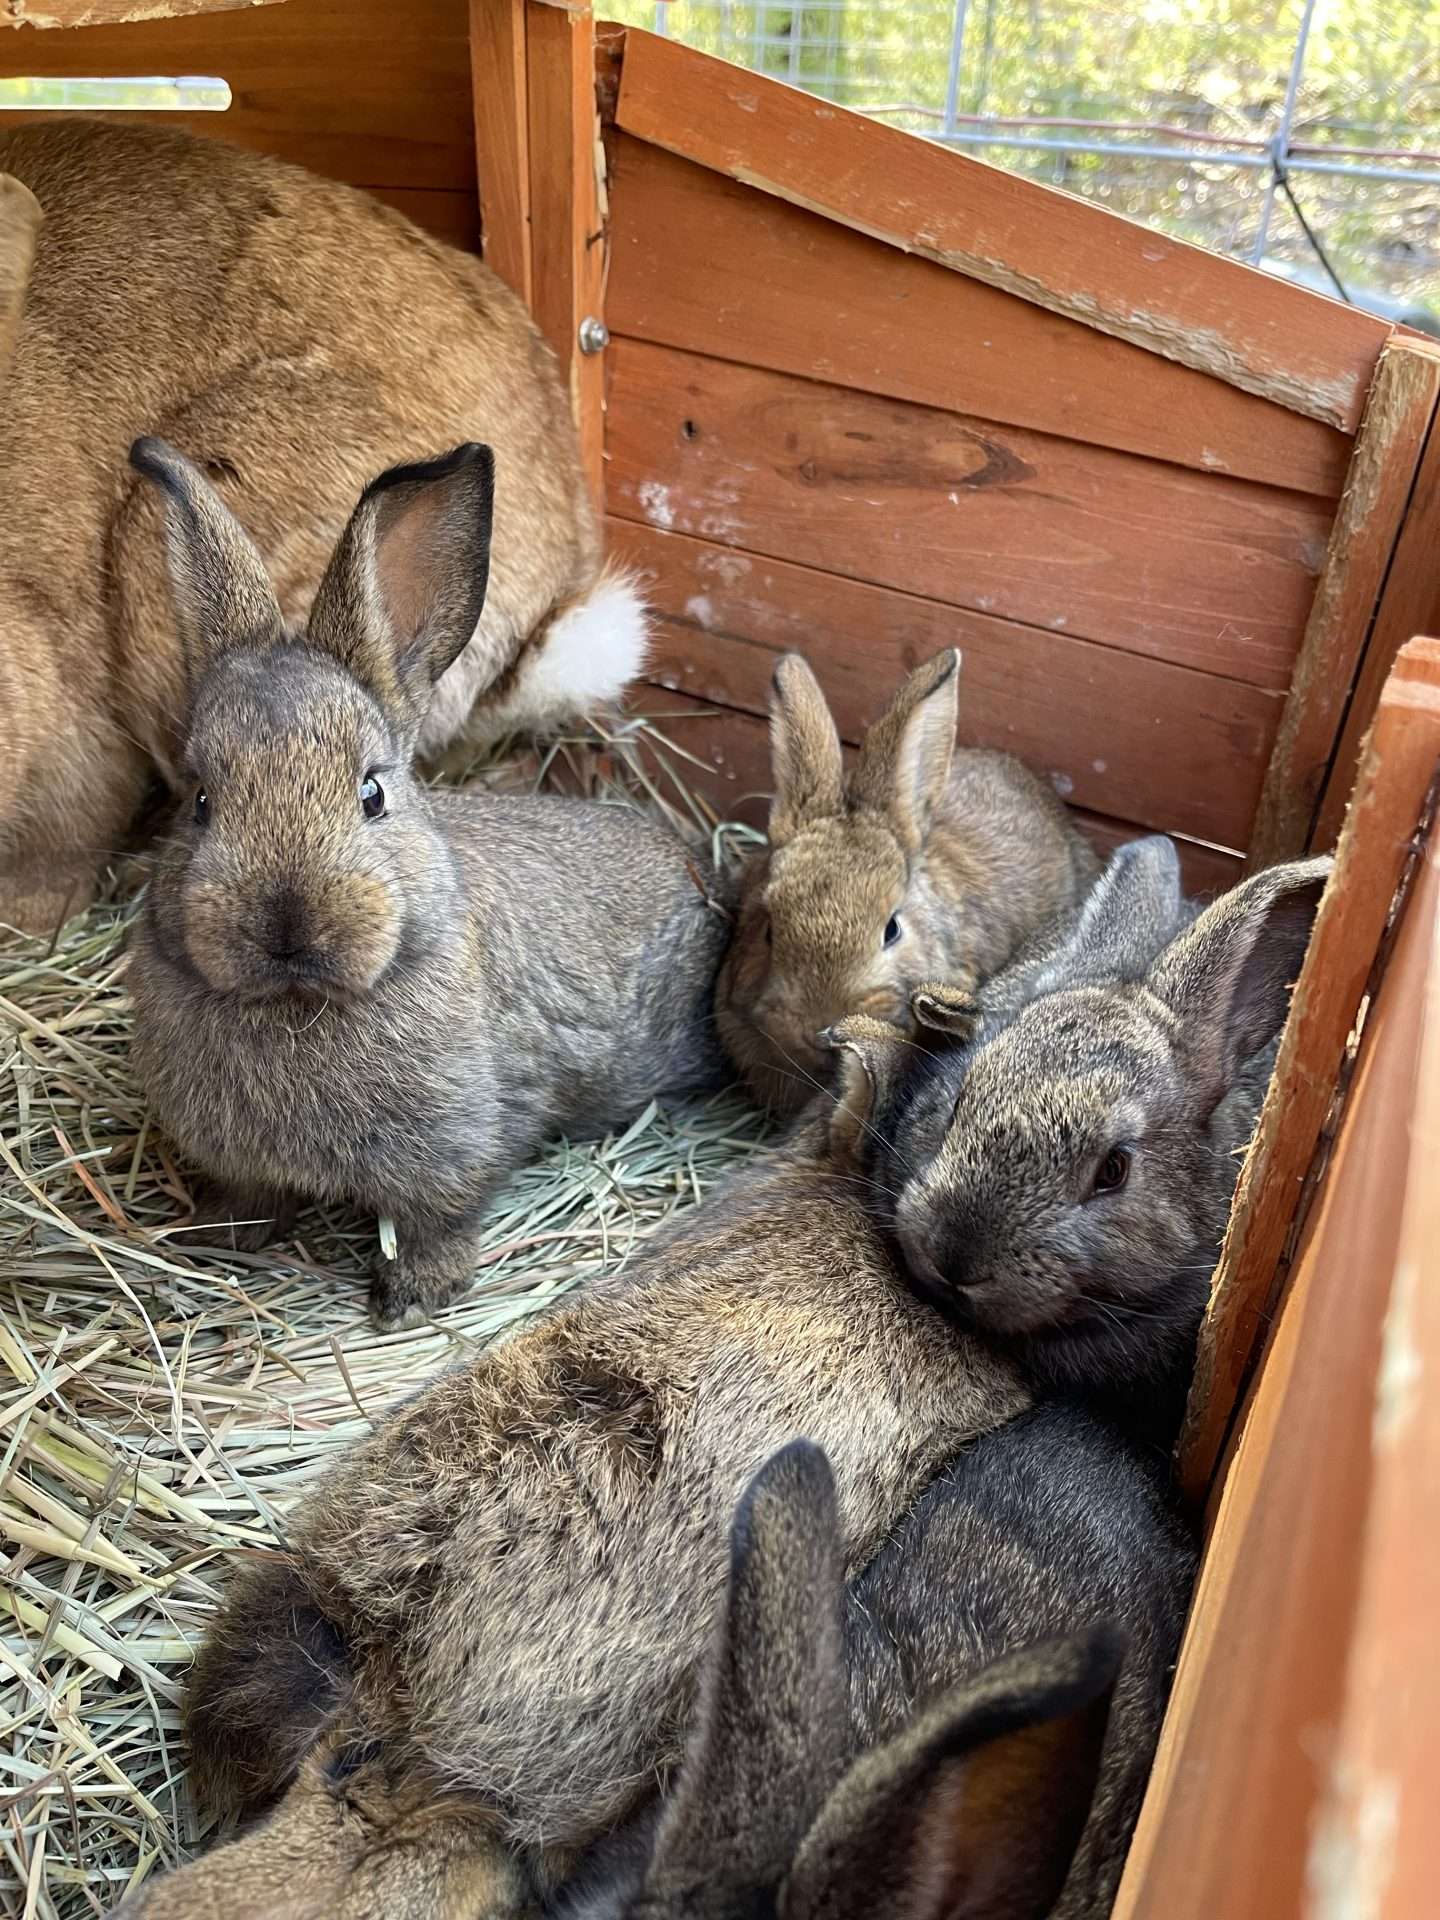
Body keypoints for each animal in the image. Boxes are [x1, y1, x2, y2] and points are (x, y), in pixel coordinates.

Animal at [123, 437, 720, 1329]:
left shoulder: (453, 1147)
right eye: (200, 801)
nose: (288, 923)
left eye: (372, 792)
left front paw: (412, 1297)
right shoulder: (241, 1161)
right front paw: (211, 1239)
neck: (302, 1004)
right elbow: (248, 1199)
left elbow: (439, 1219)